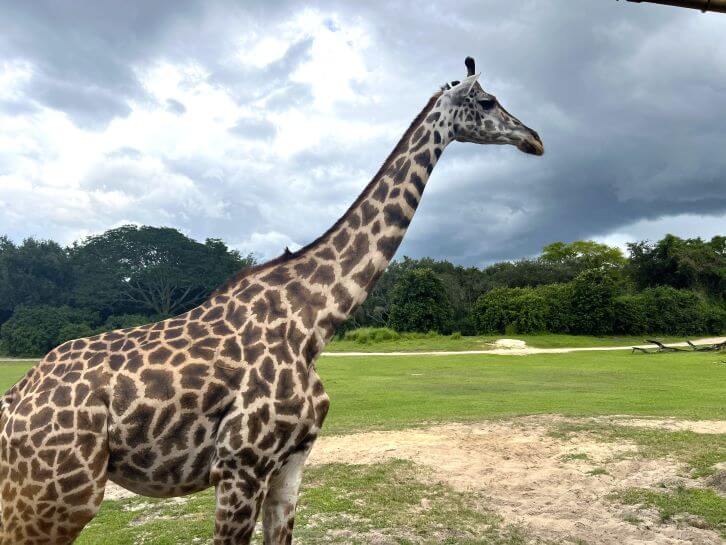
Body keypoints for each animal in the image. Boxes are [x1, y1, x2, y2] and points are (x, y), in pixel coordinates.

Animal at [0, 57, 543, 545]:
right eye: (488, 101)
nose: (534, 138)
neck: (315, 321)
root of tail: (12, 401)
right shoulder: (240, 466)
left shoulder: (290, 465)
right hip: (57, 493)